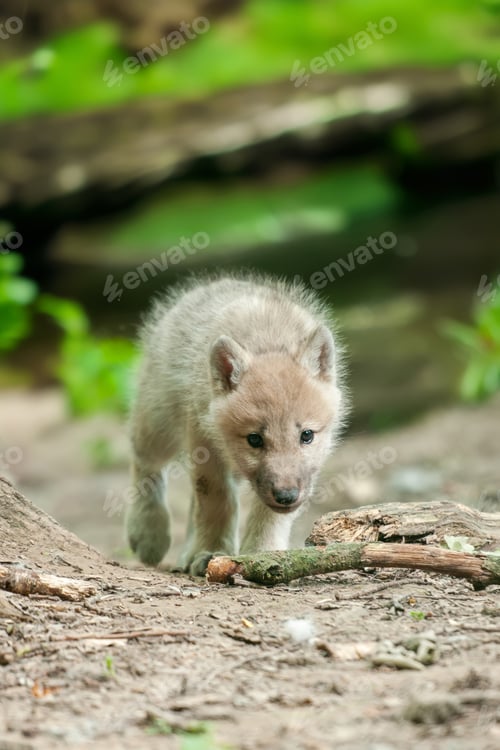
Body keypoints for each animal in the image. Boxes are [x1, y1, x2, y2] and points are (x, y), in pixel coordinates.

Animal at [126, 273, 347, 575]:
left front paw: (263, 553)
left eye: (307, 436)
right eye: (254, 439)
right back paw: (149, 534)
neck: (269, 340)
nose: (286, 496)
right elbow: (217, 503)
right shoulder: (204, 445)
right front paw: (212, 551)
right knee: (144, 463)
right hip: (159, 425)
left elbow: (264, 515)